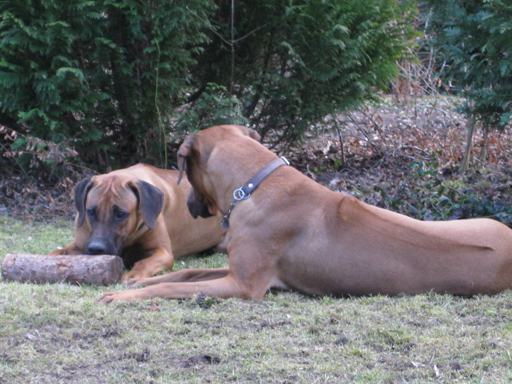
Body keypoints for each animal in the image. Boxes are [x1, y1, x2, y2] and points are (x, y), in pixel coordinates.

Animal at [50, 164, 226, 284]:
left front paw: (133, 275)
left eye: (120, 214)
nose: (95, 249)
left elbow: (144, 262)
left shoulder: (163, 252)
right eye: (91, 211)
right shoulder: (80, 245)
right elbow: (56, 253)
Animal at [99, 124, 512, 302]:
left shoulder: (244, 286)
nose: (187, 203)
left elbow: (173, 286)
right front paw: (134, 283)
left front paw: (121, 297)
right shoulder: (234, 270)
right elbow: (184, 273)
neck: (253, 185)